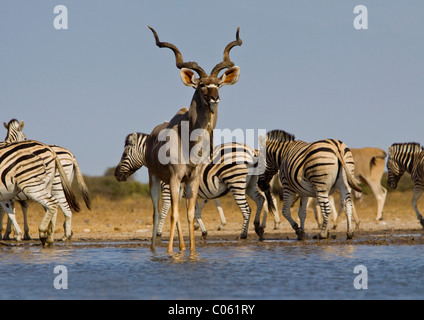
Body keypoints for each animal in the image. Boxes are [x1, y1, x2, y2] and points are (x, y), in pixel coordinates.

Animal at [114, 132, 280, 240]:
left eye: (124, 155)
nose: (116, 175)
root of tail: (252, 151)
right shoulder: (188, 190)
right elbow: (194, 211)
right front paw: (202, 232)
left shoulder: (168, 187)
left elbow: (165, 209)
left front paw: (159, 233)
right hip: (250, 184)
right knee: (260, 200)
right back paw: (258, 228)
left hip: (236, 182)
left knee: (247, 209)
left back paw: (243, 235)